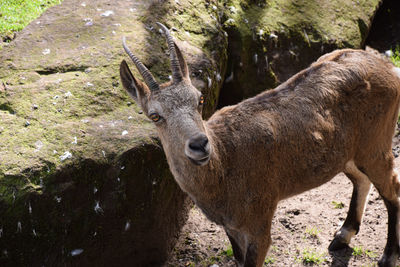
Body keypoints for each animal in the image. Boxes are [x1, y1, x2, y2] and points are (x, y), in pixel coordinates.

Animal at [120, 23, 400, 267]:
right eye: (155, 115)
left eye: (199, 99)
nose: (199, 144)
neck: (224, 167)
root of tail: (389, 69)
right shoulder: (231, 228)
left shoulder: (260, 223)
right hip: (350, 153)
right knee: (361, 180)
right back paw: (342, 236)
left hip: (377, 143)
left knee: (392, 188)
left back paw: (388, 256)